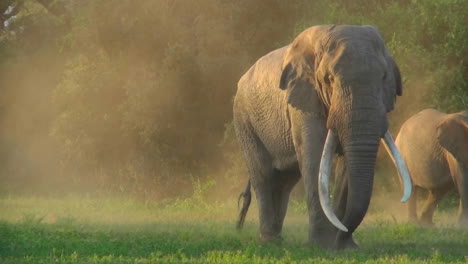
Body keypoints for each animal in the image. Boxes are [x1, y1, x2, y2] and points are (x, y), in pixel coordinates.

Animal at [233, 25, 410, 251]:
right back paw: (269, 241)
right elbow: (314, 156)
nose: (342, 238)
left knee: (285, 181)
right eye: (330, 79)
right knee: (263, 174)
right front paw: (321, 245)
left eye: (384, 77)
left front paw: (344, 247)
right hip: (244, 120)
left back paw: (278, 239)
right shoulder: (304, 100)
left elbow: (346, 166)